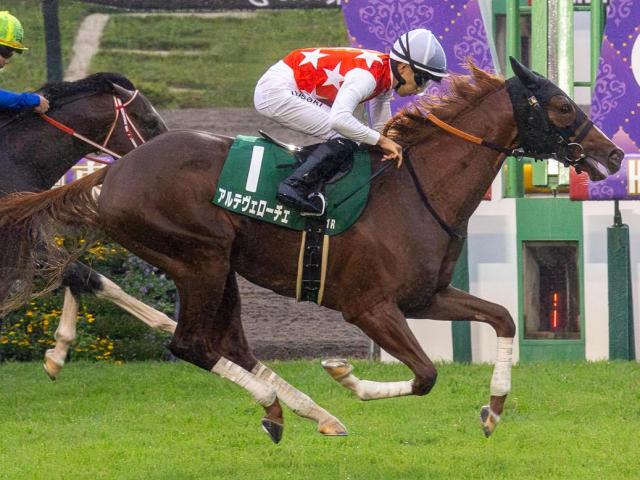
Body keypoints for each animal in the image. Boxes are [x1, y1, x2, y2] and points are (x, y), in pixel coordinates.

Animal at [0, 72, 174, 379]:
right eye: (150, 120)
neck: (14, 161)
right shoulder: (23, 241)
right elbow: (89, 277)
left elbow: (73, 272)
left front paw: (57, 353)